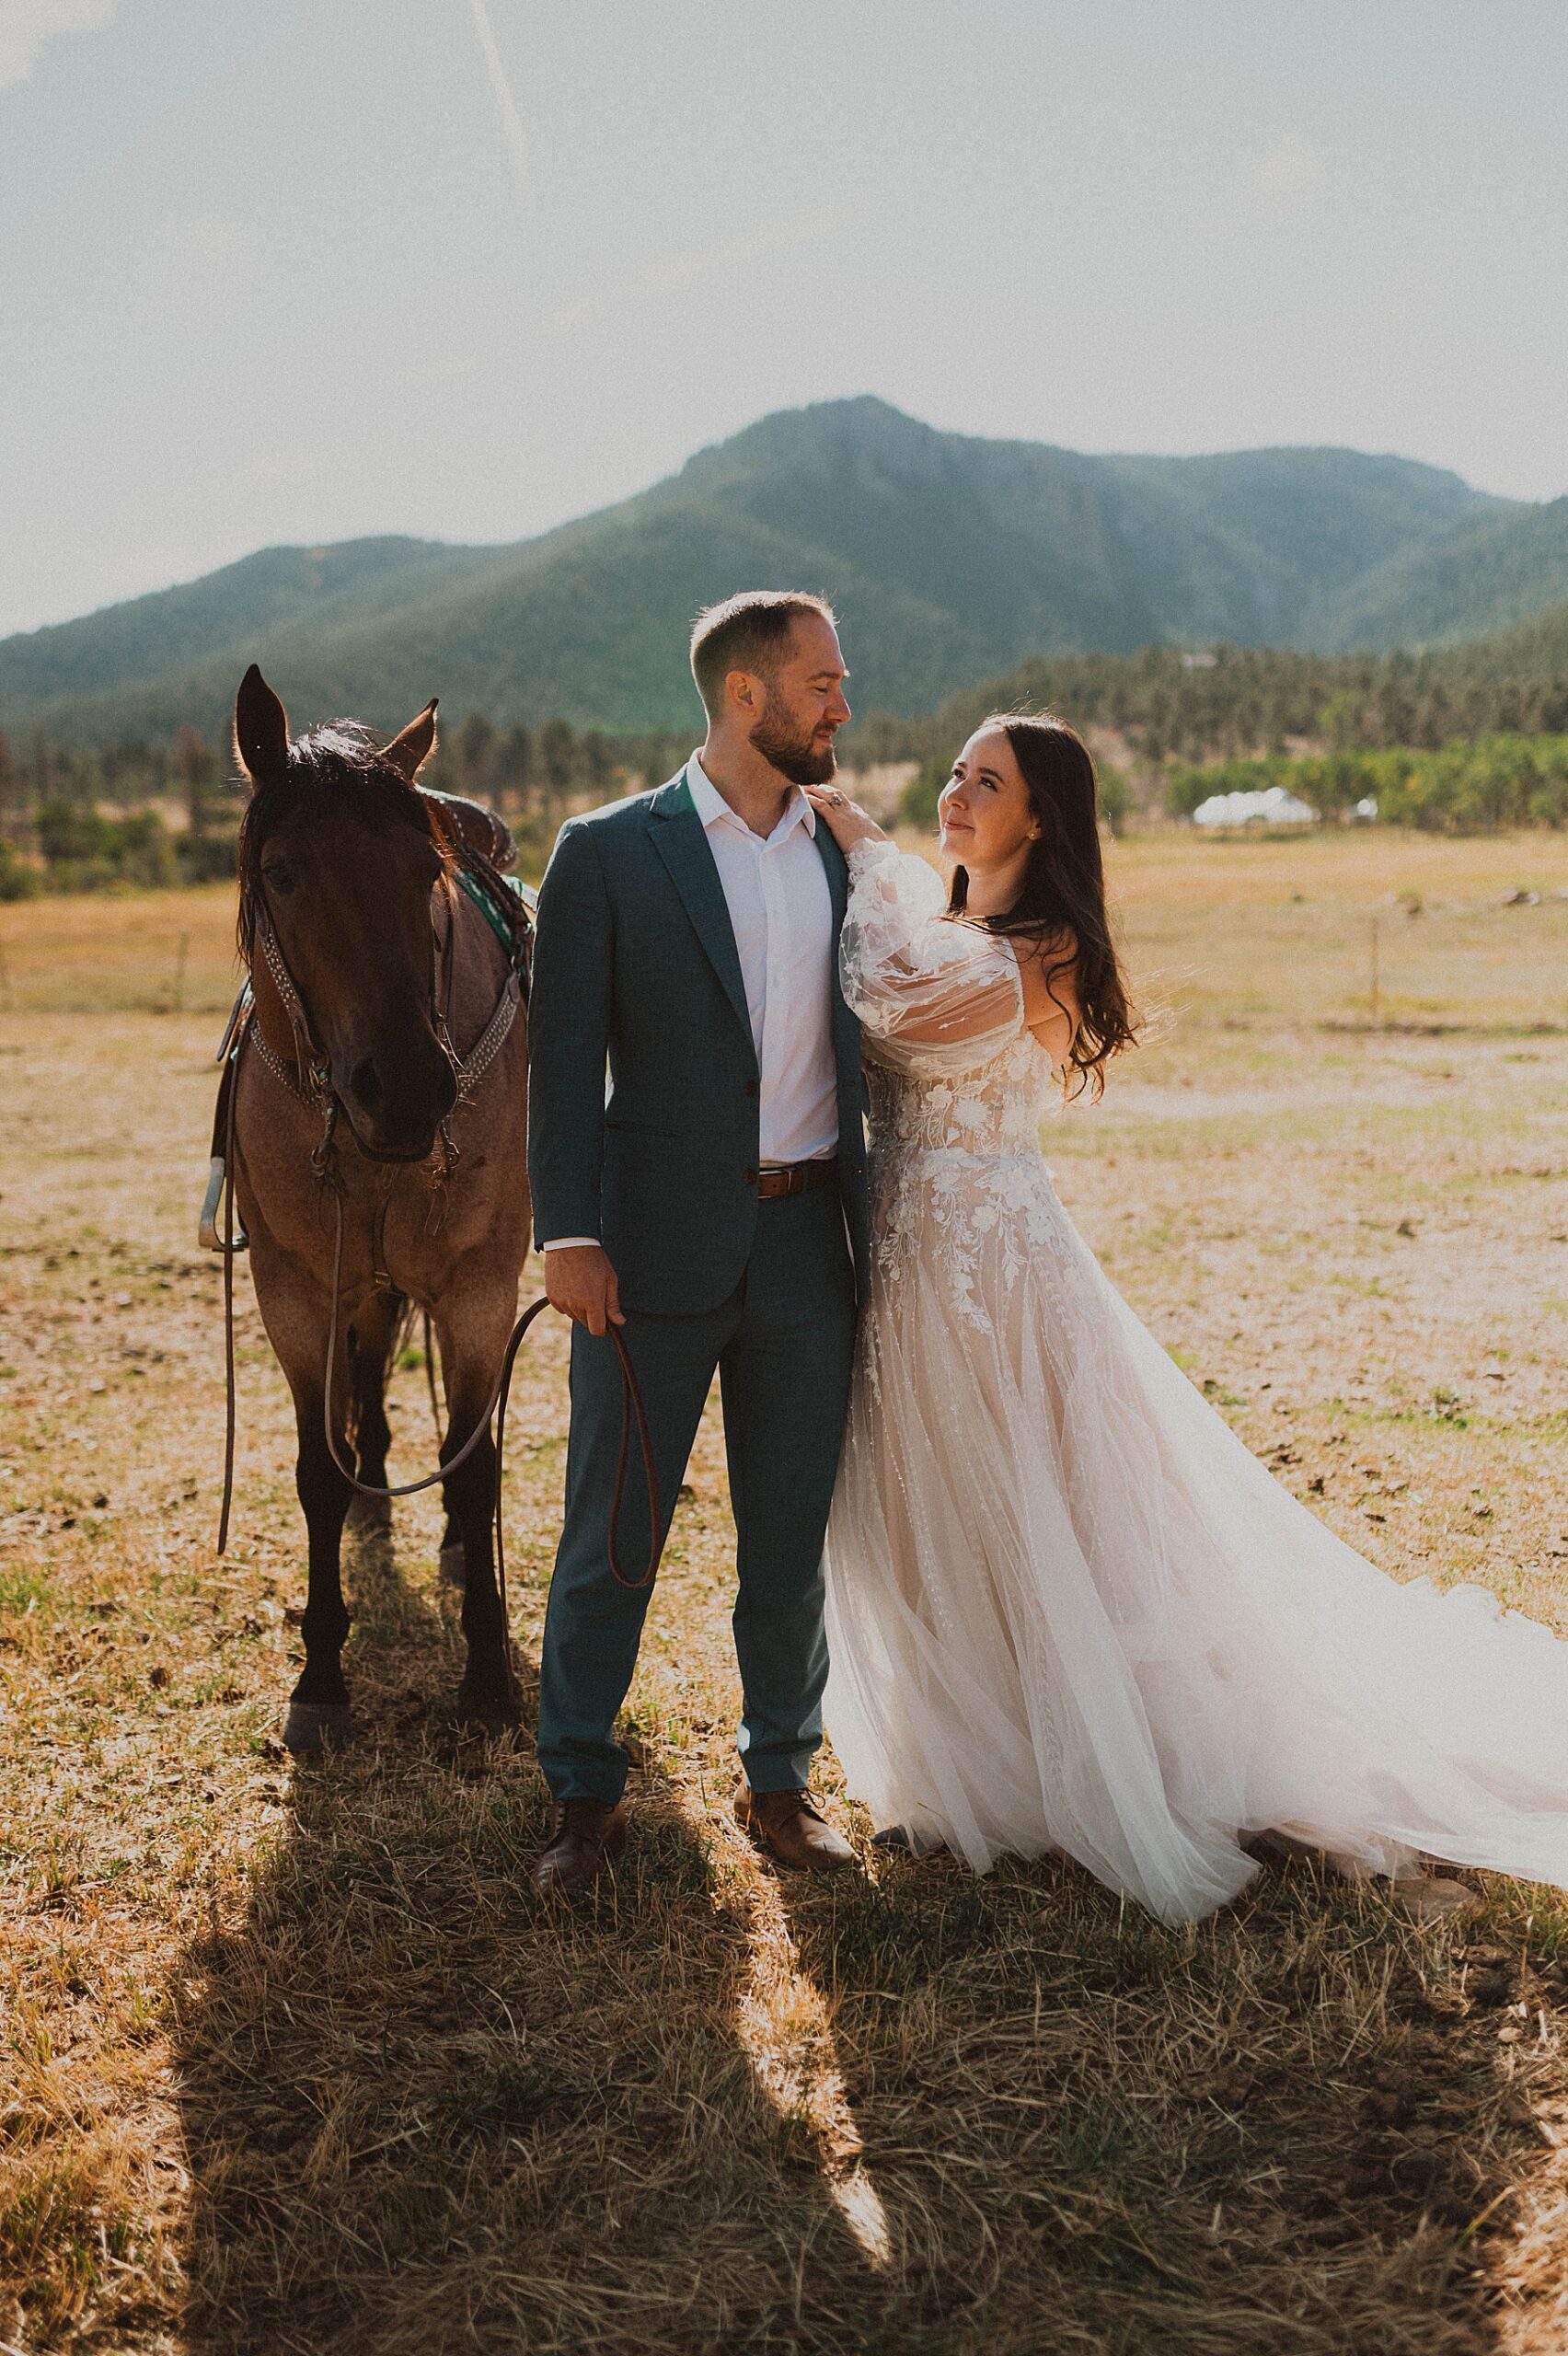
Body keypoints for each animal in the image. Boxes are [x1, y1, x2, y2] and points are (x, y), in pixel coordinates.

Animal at [221, 664, 532, 1752]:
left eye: (422, 872)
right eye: (282, 871)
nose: (404, 1089)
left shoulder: (480, 1291)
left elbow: (476, 1466)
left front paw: (487, 1675)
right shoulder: (297, 1292)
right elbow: (320, 1466)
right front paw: (321, 1675)